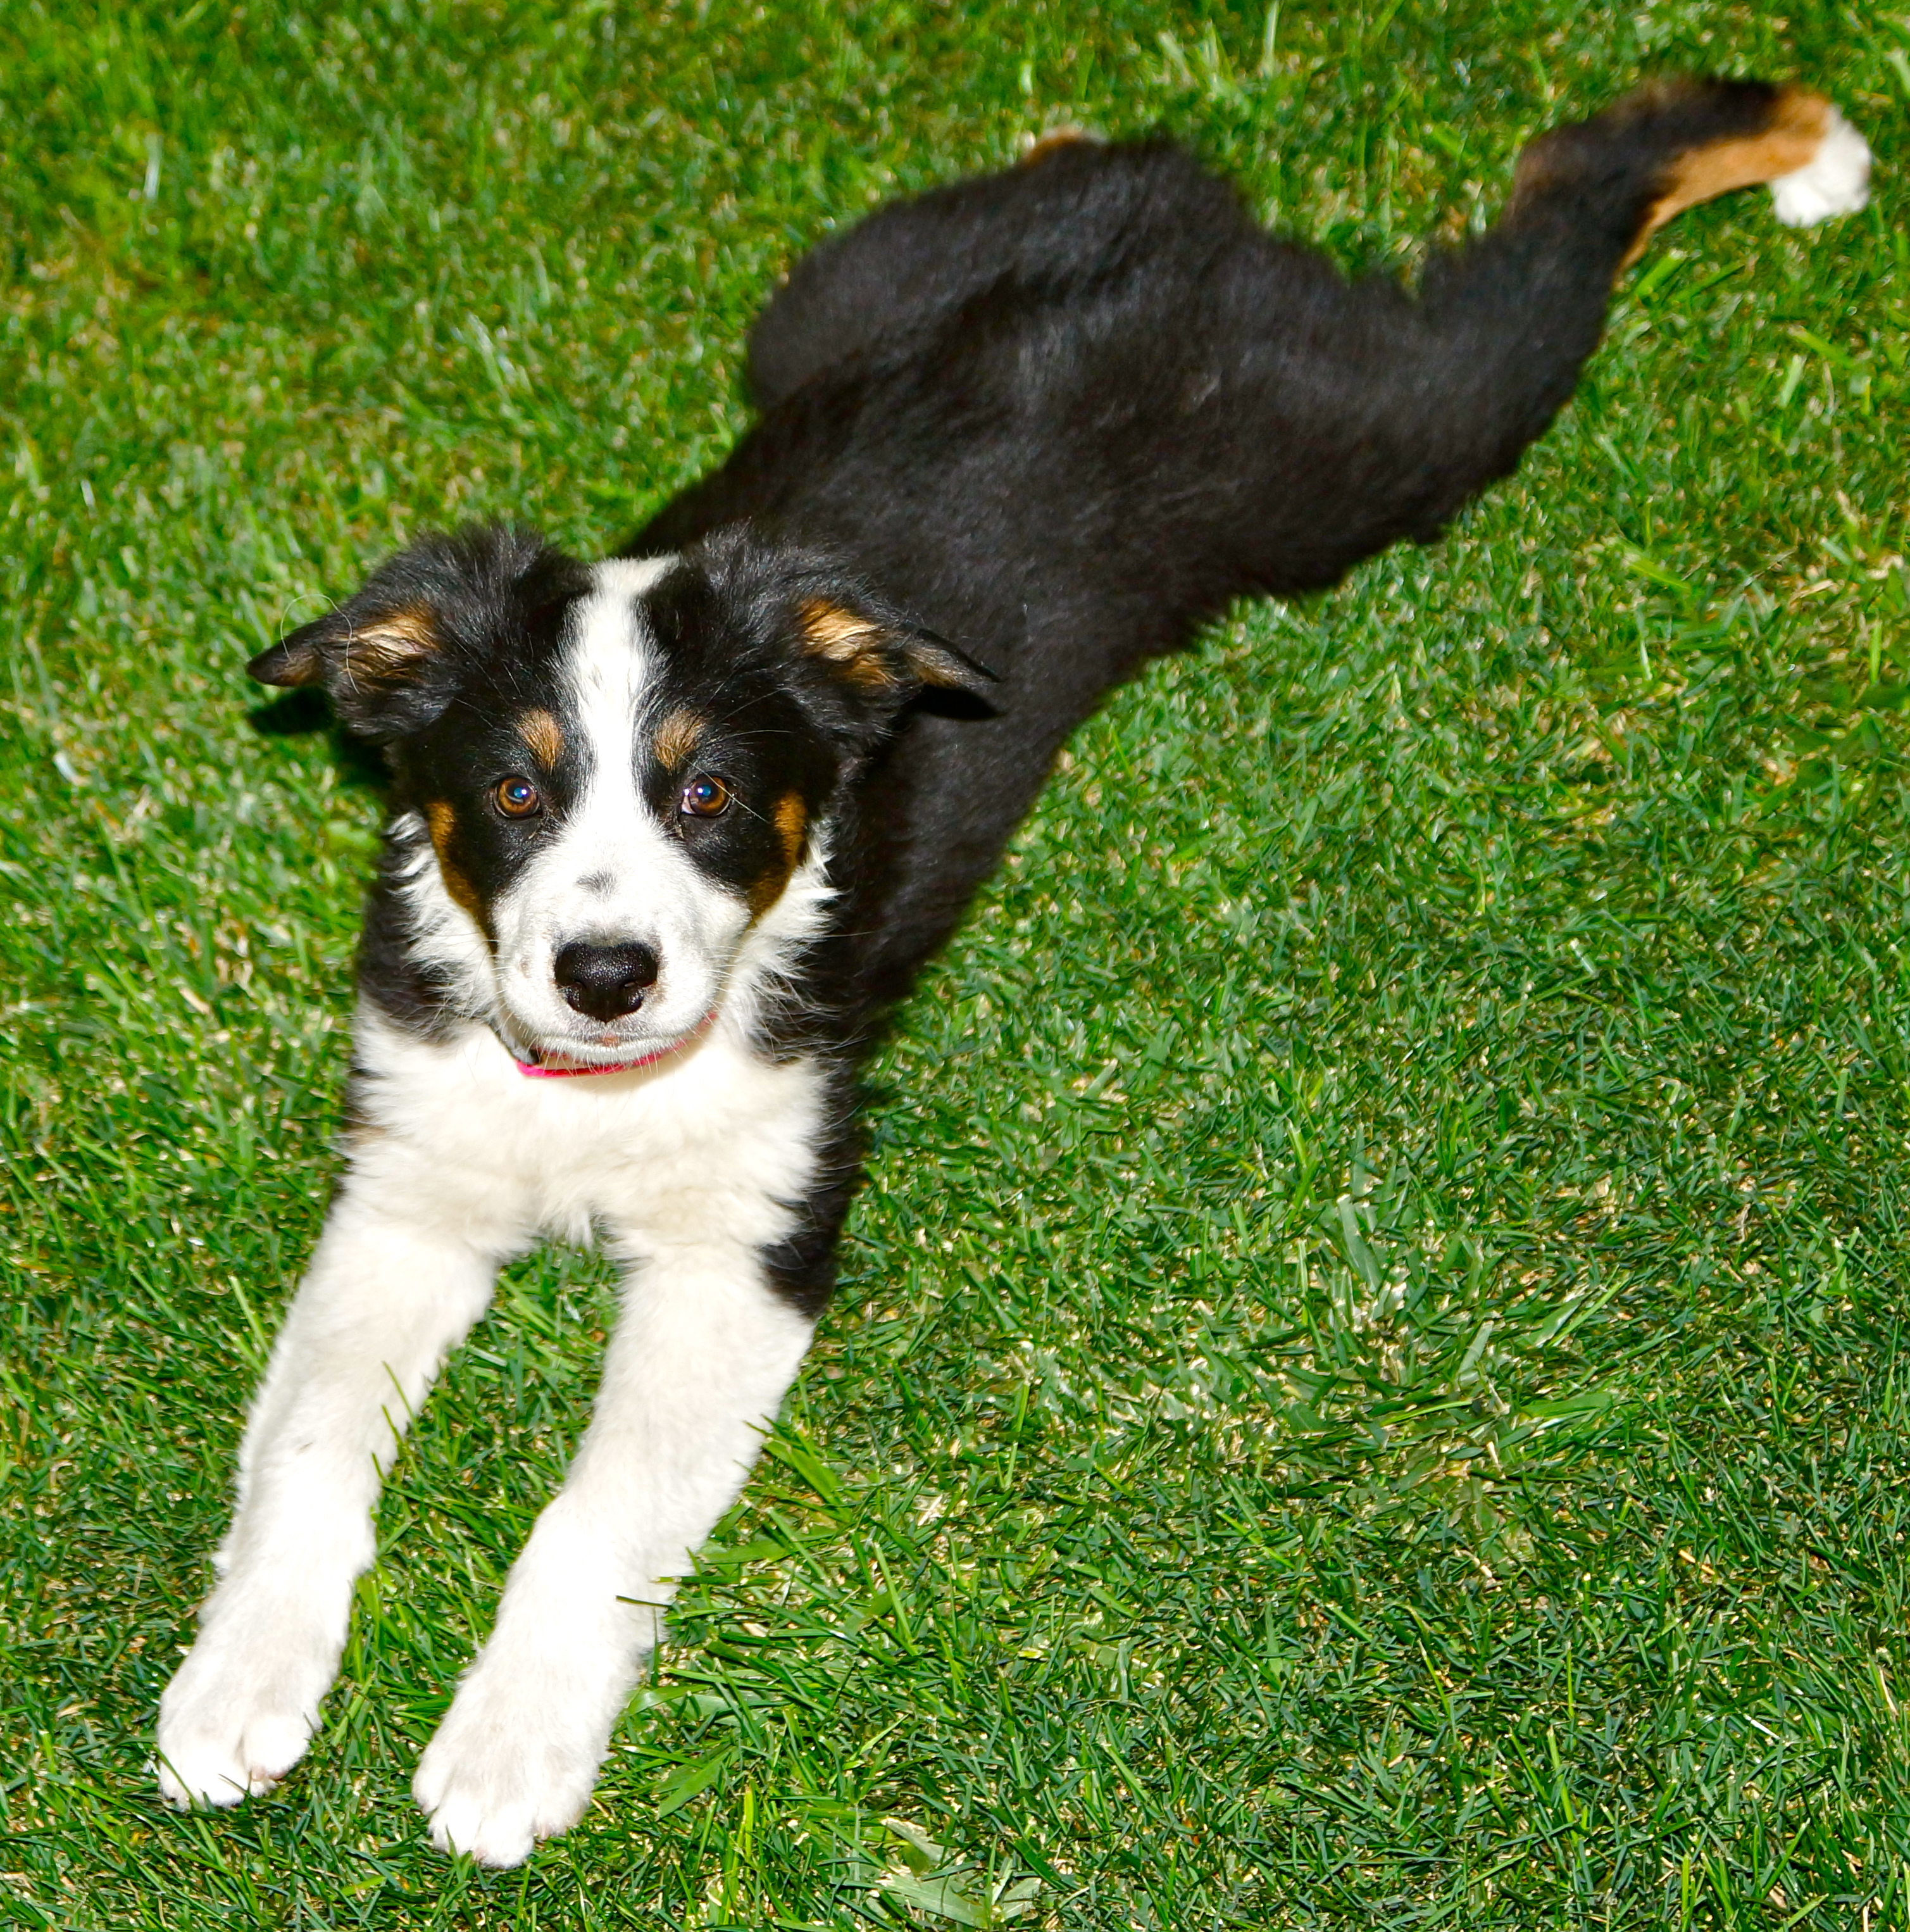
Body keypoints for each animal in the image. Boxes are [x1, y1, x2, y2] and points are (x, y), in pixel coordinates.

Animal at [154, 79, 1868, 1864]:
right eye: (510, 793)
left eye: (708, 796)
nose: (606, 975)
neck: (599, 1099)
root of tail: (1162, 237)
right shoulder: (407, 1184)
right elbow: (304, 1446)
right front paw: (236, 1689)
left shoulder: (747, 1251)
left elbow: (596, 1510)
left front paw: (506, 1751)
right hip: (834, 294)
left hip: (1378, 428)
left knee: (1558, 232)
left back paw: (1801, 143)